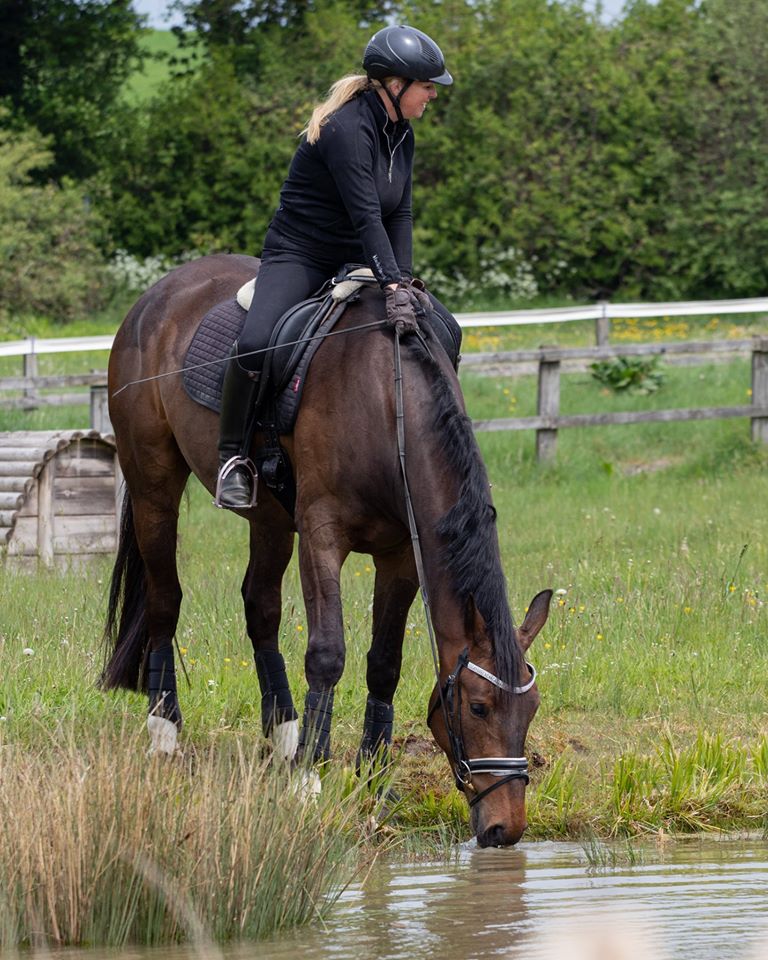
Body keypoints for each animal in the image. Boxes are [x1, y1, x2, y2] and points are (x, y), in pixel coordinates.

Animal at [101, 253, 552, 848]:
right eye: (477, 708)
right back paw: (166, 730)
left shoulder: (401, 556)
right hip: (154, 485)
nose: (505, 828)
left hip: (269, 517)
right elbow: (327, 654)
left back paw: (284, 735)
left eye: (532, 708)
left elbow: (384, 663)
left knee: (260, 607)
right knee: (164, 599)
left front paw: (373, 778)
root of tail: (158, 294)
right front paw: (310, 779)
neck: (386, 401)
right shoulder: (321, 535)